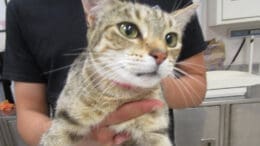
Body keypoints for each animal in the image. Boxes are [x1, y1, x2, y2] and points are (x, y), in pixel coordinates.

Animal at [39, 0, 197, 145]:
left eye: (171, 39)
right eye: (128, 30)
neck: (121, 95)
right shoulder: (63, 123)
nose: (161, 55)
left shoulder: (156, 131)